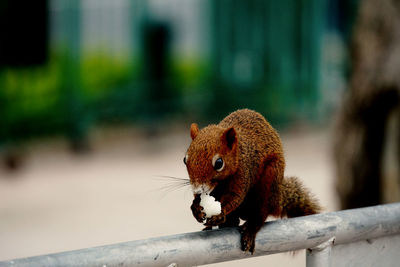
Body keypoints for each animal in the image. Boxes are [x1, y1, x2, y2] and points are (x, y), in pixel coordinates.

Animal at [185, 108, 322, 253]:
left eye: (219, 163)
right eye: (184, 159)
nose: (197, 188)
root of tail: (277, 199)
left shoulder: (244, 173)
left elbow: (235, 197)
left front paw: (219, 213)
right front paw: (196, 208)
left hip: (269, 181)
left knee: (260, 214)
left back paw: (249, 230)